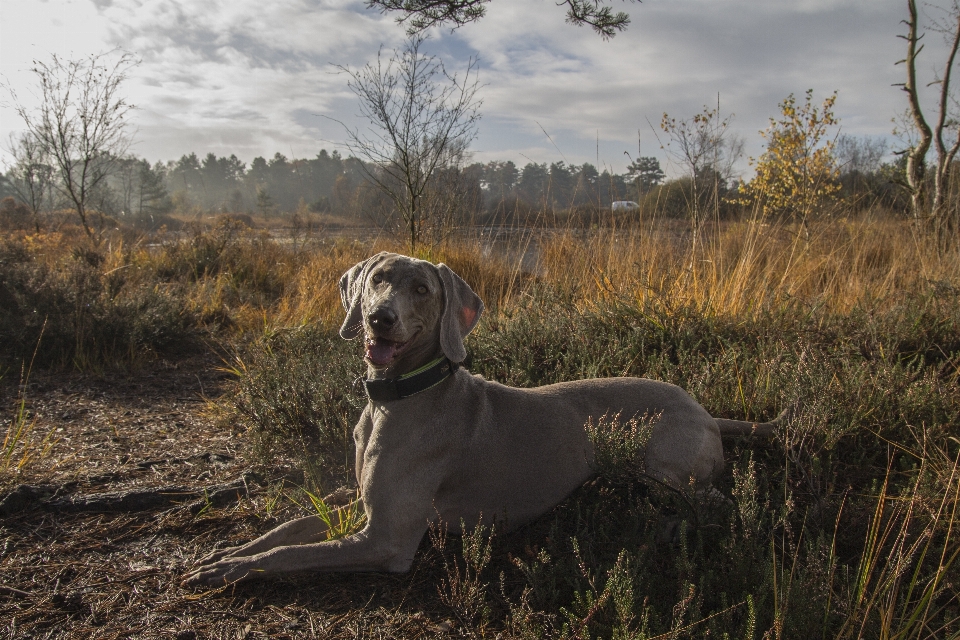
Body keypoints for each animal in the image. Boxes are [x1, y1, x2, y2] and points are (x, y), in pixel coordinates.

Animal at [182, 250, 780, 584]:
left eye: (422, 289)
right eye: (378, 280)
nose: (380, 318)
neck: (393, 400)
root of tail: (704, 408)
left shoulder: (386, 540)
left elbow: (292, 553)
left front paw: (232, 570)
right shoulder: (363, 503)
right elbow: (287, 529)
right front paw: (228, 552)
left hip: (664, 468)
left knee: (722, 505)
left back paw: (671, 529)